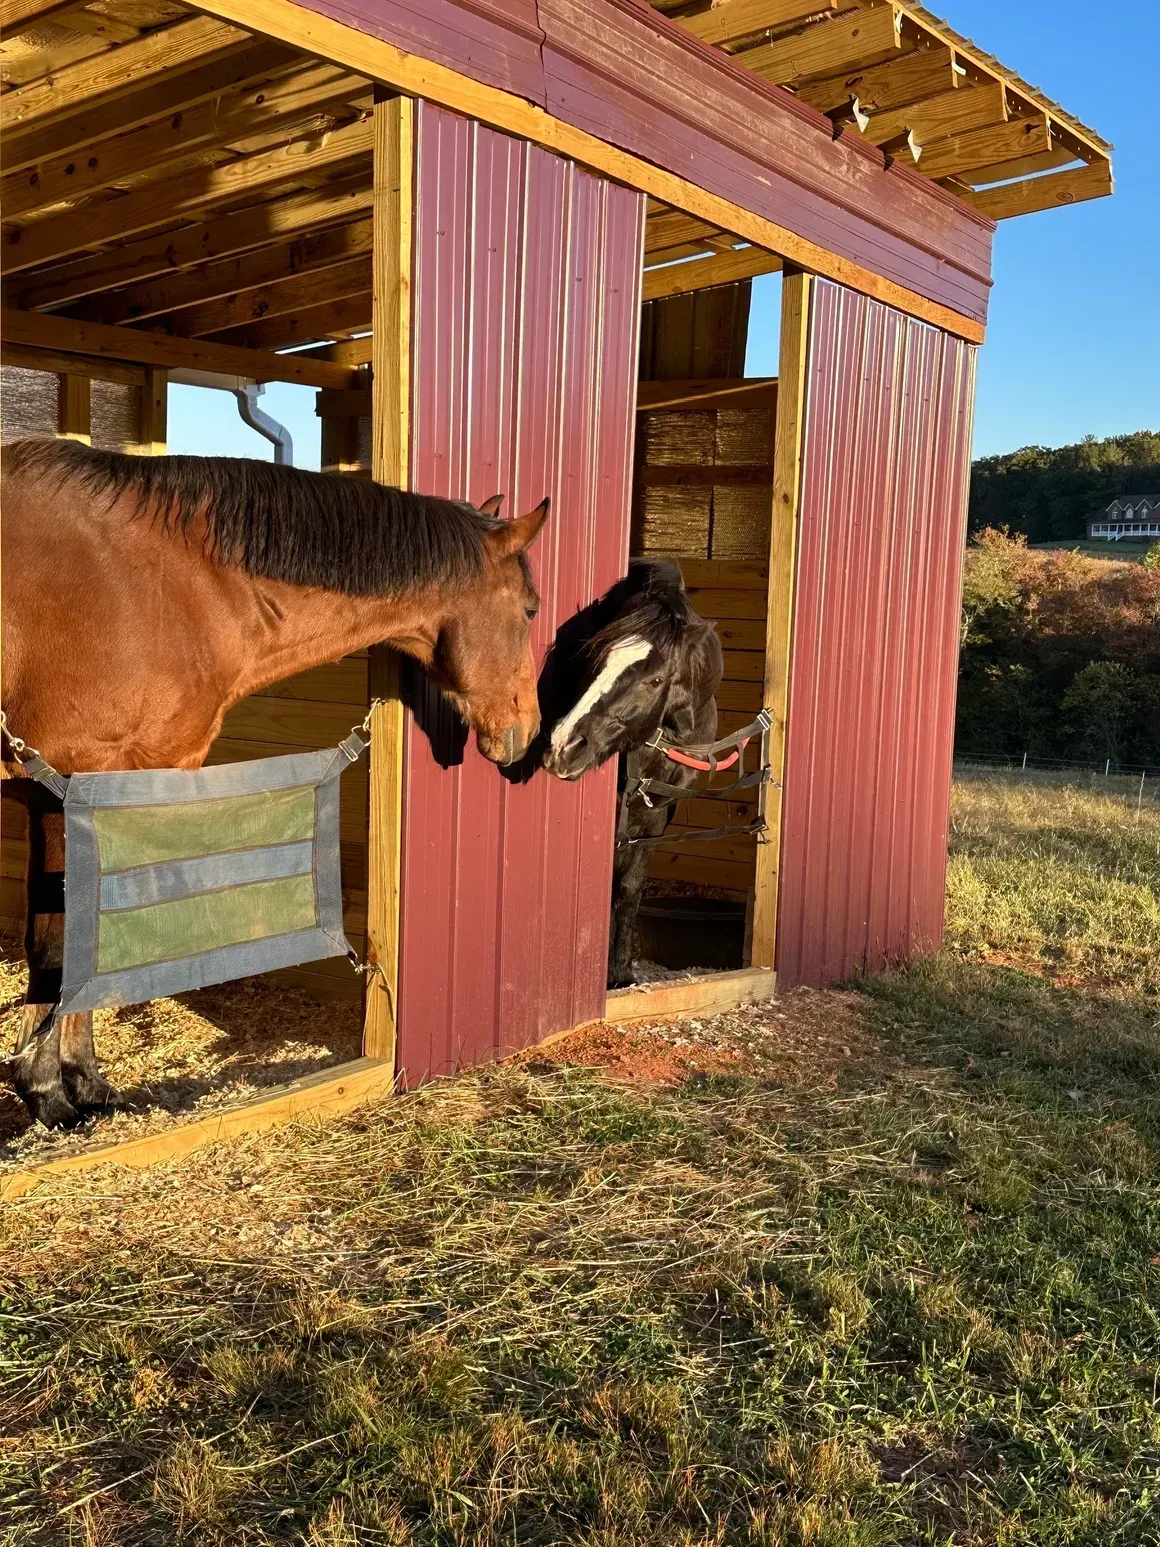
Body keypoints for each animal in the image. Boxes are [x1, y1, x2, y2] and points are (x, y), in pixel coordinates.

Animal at [1, 436, 549, 1129]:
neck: (167, 584)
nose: (527, 734)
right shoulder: (81, 788)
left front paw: (66, 1083)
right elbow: (70, 946)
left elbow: (67, 941)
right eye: (529, 609)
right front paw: (59, 1090)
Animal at [540, 559, 722, 988]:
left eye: (655, 679)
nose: (563, 745)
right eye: (594, 659)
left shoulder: (655, 815)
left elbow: (630, 886)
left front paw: (620, 972)